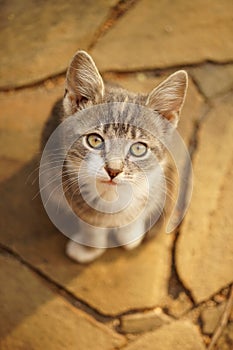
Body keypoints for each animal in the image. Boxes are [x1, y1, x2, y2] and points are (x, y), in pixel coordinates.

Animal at [41, 49, 187, 262]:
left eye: (138, 149)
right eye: (95, 140)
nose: (113, 170)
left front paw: (130, 235)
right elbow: (91, 223)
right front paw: (89, 248)